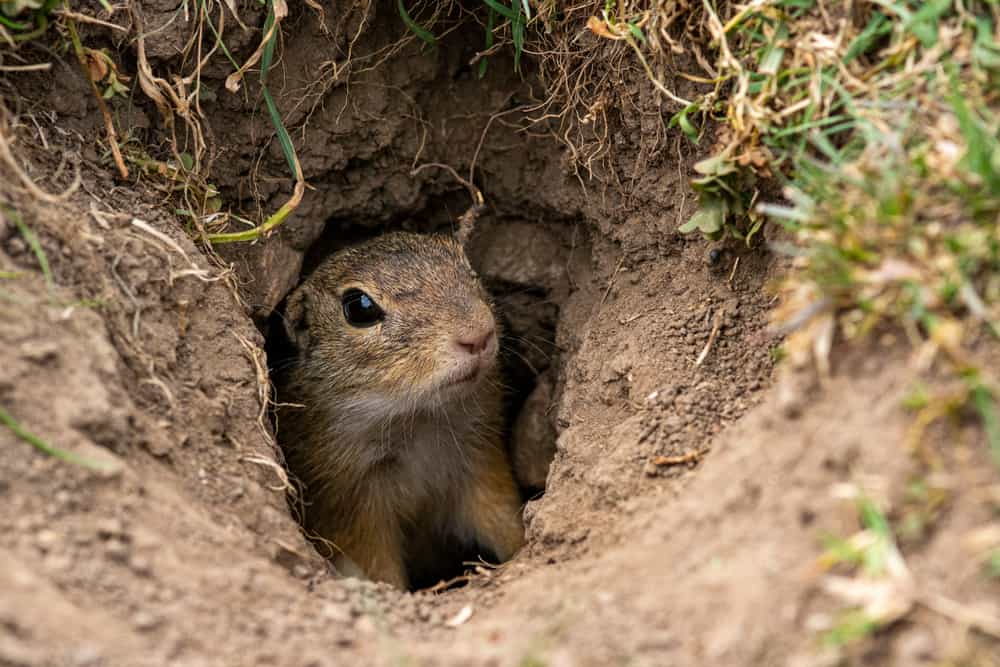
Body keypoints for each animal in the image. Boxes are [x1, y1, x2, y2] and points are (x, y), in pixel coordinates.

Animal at [275, 231, 525, 590]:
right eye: (359, 307)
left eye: (466, 264)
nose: (479, 333)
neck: (418, 420)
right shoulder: (352, 509)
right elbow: (379, 569)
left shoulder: (480, 464)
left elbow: (502, 519)